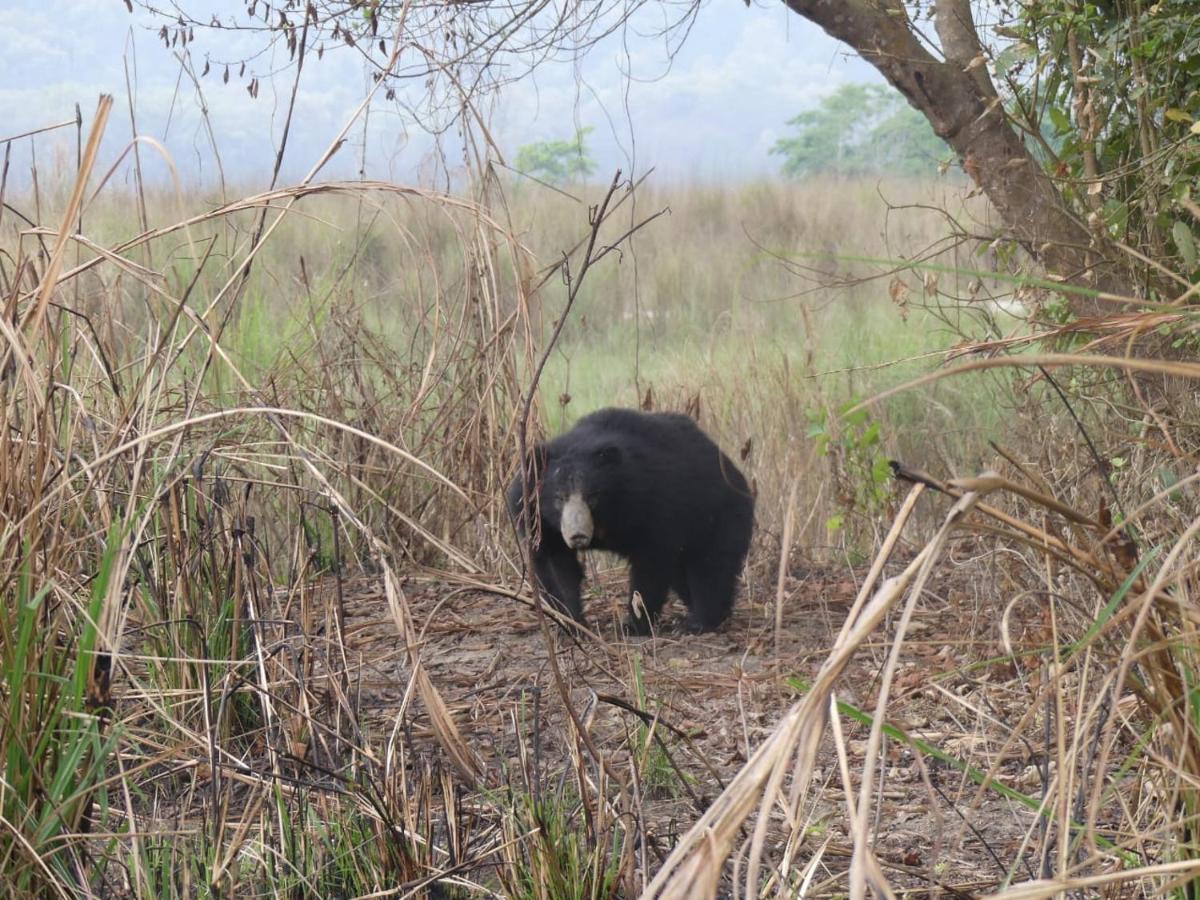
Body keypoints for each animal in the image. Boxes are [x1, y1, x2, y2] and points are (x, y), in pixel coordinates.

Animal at [508, 408, 753, 633]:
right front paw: (572, 624)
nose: (577, 535)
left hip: (717, 515)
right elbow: (555, 565)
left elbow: (650, 563)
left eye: (592, 497)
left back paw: (700, 622)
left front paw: (634, 625)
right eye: (559, 498)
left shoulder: (652, 505)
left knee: (710, 566)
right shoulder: (538, 520)